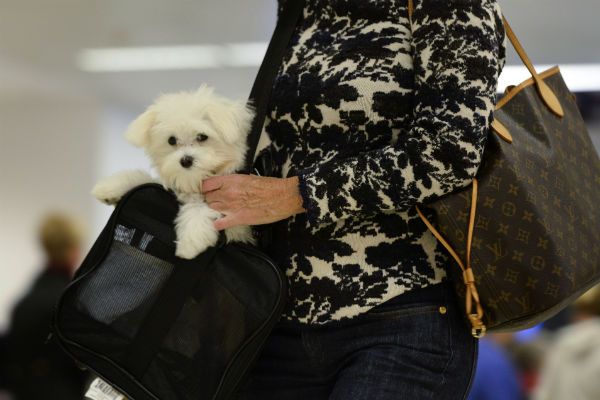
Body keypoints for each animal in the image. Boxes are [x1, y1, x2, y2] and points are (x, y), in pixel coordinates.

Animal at [92, 85, 256, 260]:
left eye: (202, 137)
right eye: (171, 140)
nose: (186, 160)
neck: (194, 182)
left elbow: (204, 207)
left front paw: (190, 243)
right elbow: (144, 178)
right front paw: (109, 188)